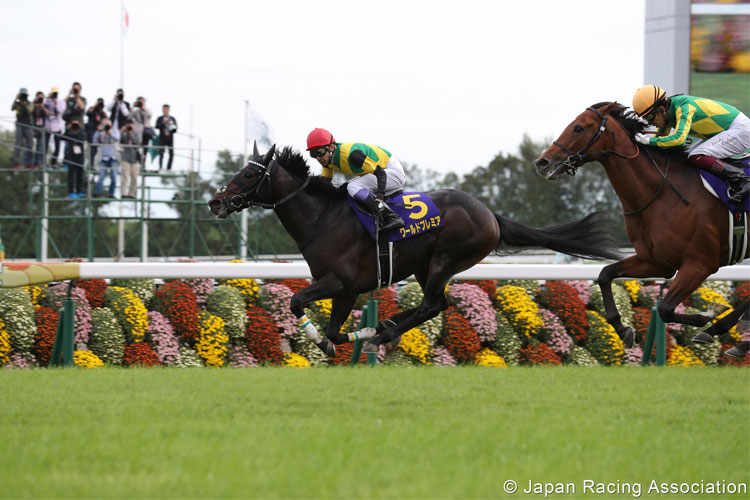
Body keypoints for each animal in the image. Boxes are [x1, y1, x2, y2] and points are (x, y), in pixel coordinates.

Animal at [210, 143, 624, 358]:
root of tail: (489, 213)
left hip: (446, 258)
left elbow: (302, 307)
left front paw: (345, 337)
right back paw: (387, 327)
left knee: (431, 305)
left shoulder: (341, 282)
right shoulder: (345, 288)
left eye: (250, 174)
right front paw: (354, 334)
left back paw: (383, 334)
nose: (216, 202)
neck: (321, 219)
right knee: (437, 304)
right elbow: (335, 331)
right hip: (427, 266)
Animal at [536, 101, 748, 354]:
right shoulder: (656, 262)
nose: (542, 162)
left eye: (578, 127)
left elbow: (665, 308)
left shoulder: (700, 264)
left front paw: (708, 314)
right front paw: (623, 329)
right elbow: (605, 275)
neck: (662, 193)